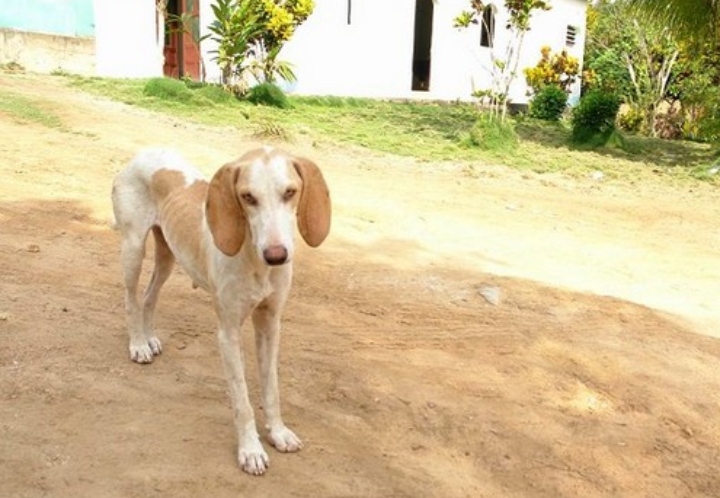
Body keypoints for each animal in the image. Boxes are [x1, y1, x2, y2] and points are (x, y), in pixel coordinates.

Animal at [110, 148, 332, 474]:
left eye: (290, 192)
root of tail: (144, 151)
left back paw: (149, 338)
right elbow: (242, 399)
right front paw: (250, 450)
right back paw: (138, 344)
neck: (255, 261)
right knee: (131, 298)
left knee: (150, 296)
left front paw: (278, 432)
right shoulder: (228, 332)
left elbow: (272, 388)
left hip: (168, 255)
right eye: (247, 197)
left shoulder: (270, 324)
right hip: (133, 248)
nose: (276, 256)